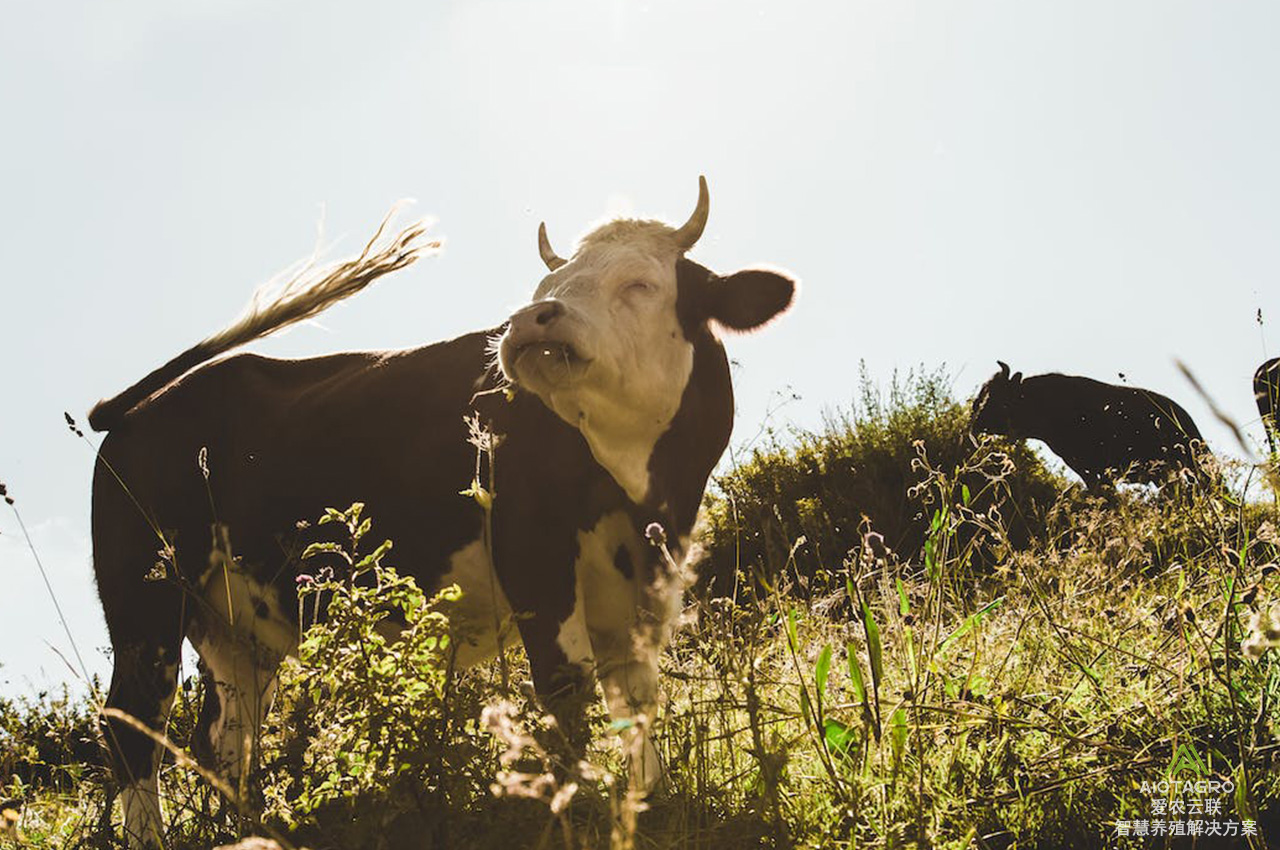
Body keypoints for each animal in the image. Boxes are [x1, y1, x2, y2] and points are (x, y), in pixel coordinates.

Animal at [85, 177, 793, 844]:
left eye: (641, 282)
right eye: (548, 282)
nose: (532, 319)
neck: (639, 489)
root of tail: (139, 409)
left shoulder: (648, 575)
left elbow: (637, 697)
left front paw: (648, 805)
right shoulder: (532, 552)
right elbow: (567, 685)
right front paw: (578, 808)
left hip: (234, 626)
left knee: (225, 739)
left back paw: (250, 830)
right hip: (145, 598)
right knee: (134, 727)